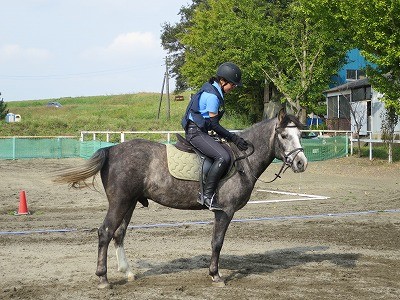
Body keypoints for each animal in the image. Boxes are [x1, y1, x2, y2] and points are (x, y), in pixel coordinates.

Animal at [54, 109, 308, 288]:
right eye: (284, 135)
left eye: (300, 135)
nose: (301, 163)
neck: (242, 159)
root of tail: (111, 149)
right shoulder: (224, 211)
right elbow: (217, 242)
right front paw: (215, 275)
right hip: (120, 202)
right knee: (105, 232)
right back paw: (103, 279)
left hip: (129, 203)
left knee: (119, 234)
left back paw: (127, 272)